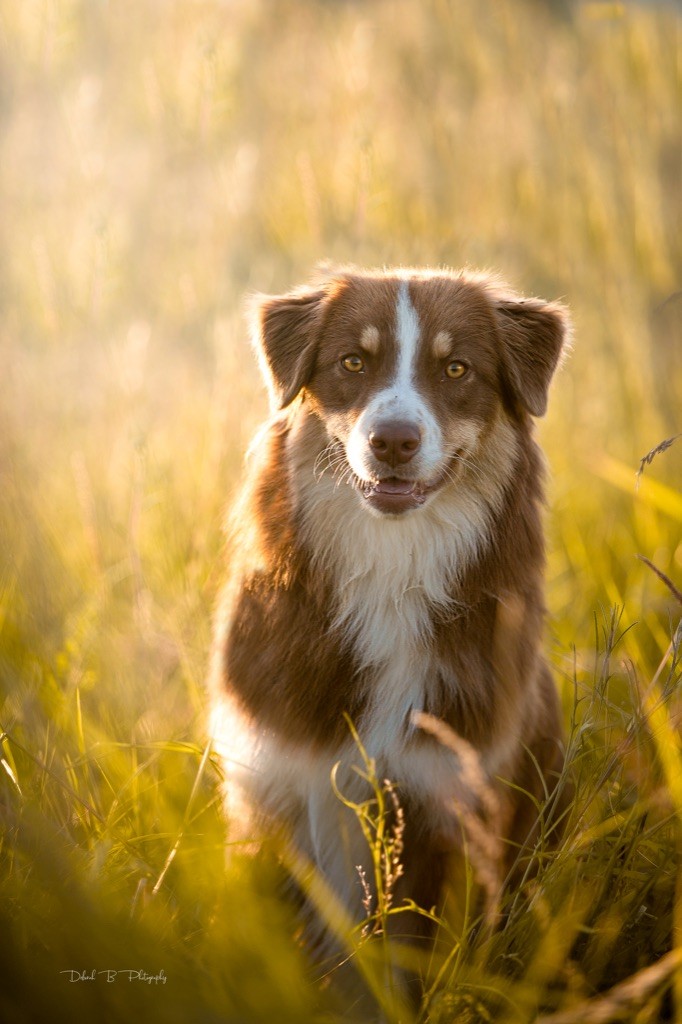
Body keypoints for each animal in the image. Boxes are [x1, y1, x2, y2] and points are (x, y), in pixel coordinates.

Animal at [206, 266, 569, 966]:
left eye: (456, 369)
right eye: (353, 361)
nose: (394, 441)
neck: (391, 573)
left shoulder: (443, 802)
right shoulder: (272, 787)